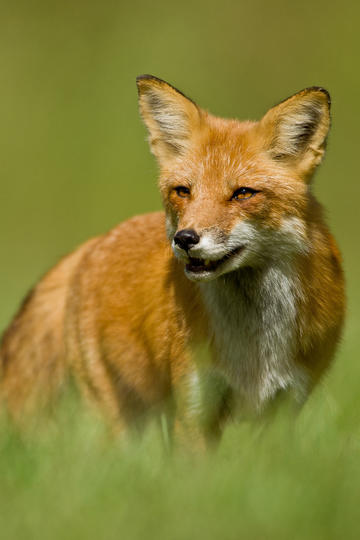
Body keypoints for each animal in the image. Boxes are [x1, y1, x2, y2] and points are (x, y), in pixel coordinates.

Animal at [0, 75, 346, 448]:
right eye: (183, 191)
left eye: (242, 193)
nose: (185, 239)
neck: (253, 348)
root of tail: (95, 242)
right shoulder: (195, 406)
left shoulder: (284, 408)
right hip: (119, 417)